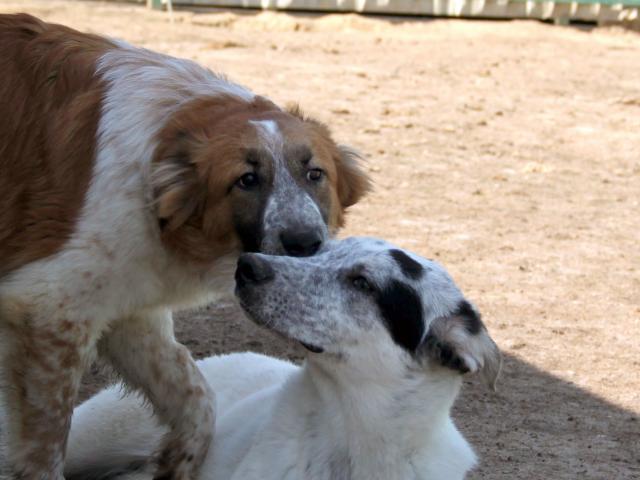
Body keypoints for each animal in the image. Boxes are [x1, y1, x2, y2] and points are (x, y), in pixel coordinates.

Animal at [0, 13, 370, 478]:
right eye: (247, 180)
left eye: (315, 174)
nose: (305, 242)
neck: (152, 179)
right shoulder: (50, 313)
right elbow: (45, 449)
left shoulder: (127, 308)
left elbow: (196, 395)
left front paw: (176, 463)